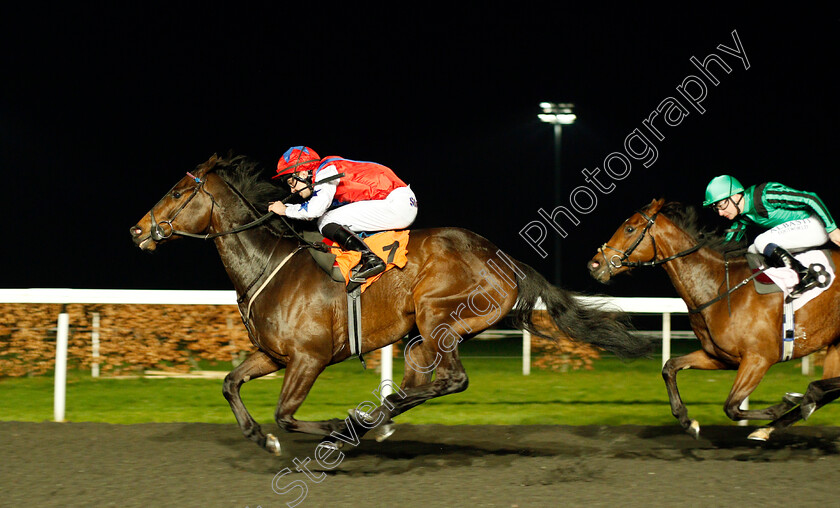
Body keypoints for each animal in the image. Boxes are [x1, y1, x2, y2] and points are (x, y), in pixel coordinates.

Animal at [128, 153, 648, 454]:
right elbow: (230, 384)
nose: (136, 230)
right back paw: (377, 416)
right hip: (418, 339)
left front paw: (327, 427)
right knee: (423, 385)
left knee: (452, 380)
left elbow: (287, 415)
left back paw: (367, 418)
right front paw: (260, 437)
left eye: (177, 192)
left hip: (438, 318)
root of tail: (504, 259)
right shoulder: (273, 355)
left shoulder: (308, 358)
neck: (267, 264)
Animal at [588, 198, 840, 440]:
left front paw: (784, 404)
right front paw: (688, 422)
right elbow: (669, 367)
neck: (720, 288)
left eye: (629, 228)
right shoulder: (721, 357)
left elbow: (732, 407)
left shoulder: (759, 358)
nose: (594, 264)